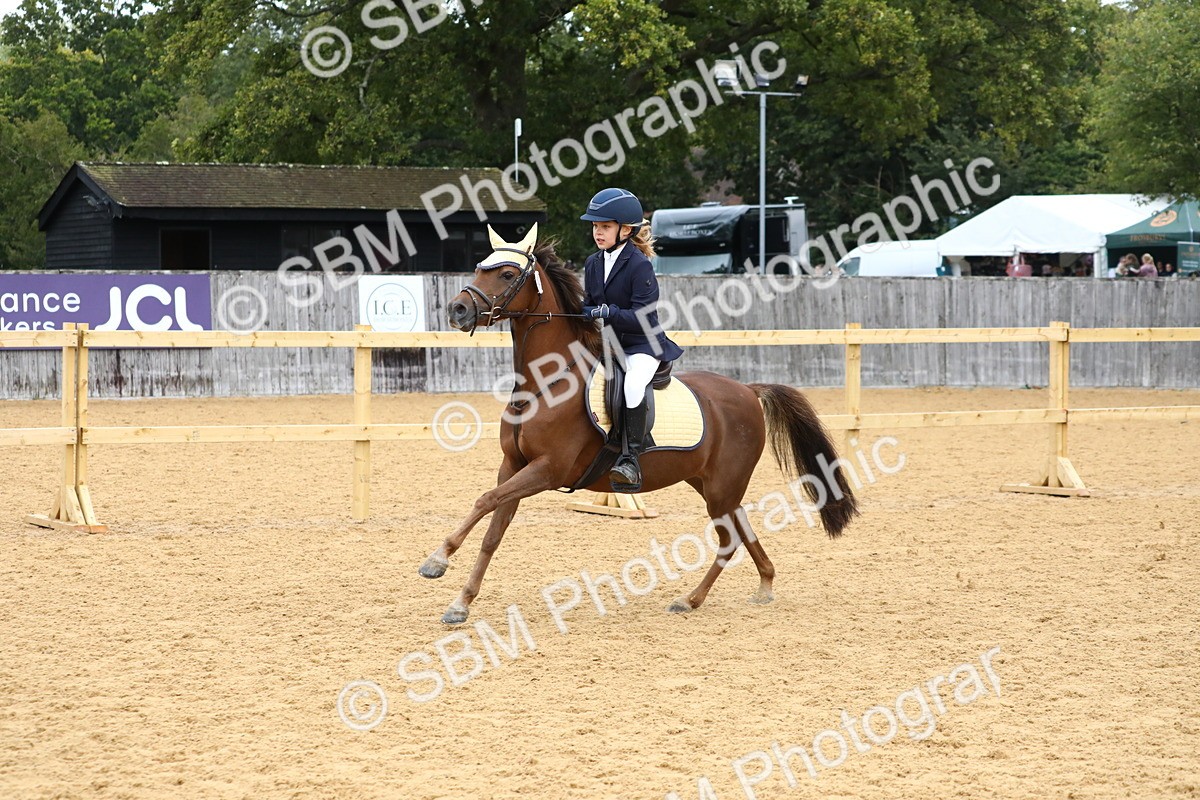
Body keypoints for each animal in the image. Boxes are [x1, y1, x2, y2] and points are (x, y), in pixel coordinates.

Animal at [419, 224, 858, 624]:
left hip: (721, 486)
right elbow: (493, 530)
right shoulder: (513, 465)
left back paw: (690, 599)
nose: (457, 309)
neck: (545, 383)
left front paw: (437, 560)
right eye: (481, 267)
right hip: (709, 483)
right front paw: (460, 602)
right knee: (741, 529)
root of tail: (749, 390)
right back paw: (759, 585)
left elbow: (484, 501)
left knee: (729, 538)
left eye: (508, 275)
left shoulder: (547, 470)